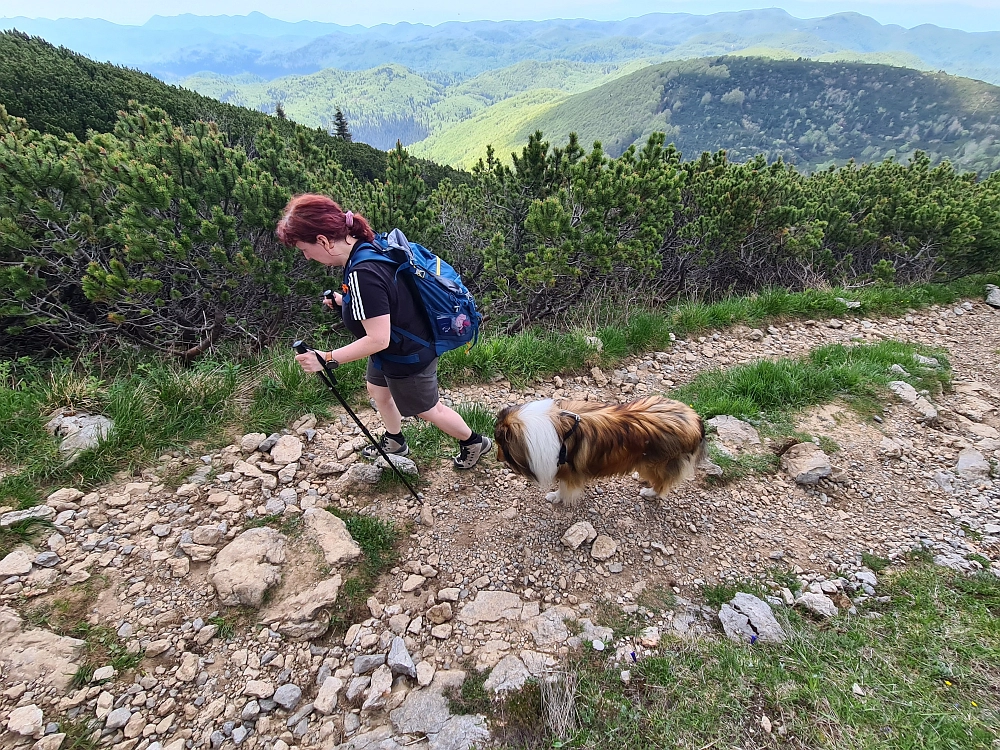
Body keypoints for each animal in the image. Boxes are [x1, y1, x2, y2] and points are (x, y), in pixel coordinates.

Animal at [492, 396, 704, 508]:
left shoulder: (568, 472)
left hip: (654, 464)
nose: (497, 458)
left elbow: (563, 488)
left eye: (499, 443)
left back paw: (649, 492)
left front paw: (556, 497)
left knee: (663, 484)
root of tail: (695, 420)